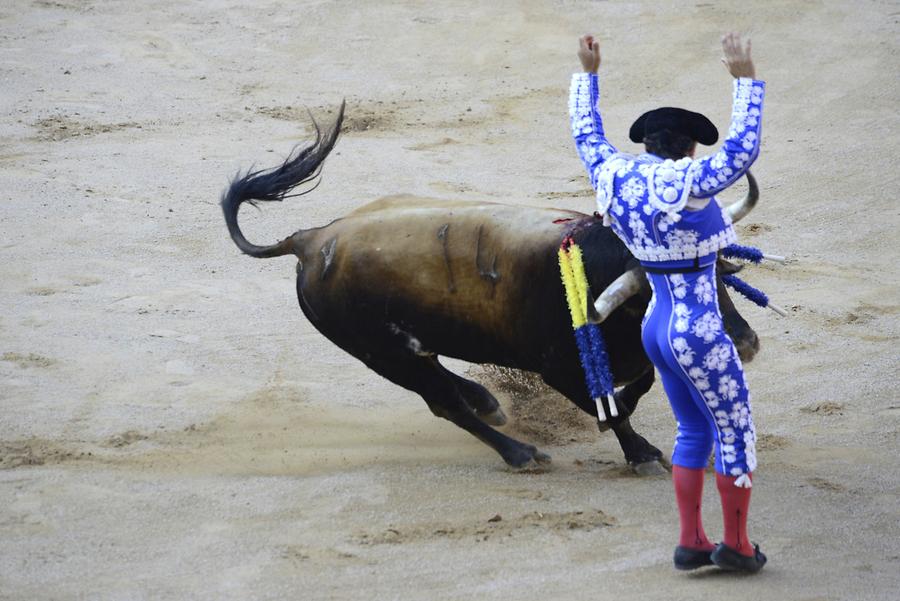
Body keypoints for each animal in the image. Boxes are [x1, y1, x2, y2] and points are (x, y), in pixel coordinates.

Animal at [220, 106, 760, 474]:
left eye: (718, 275)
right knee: (443, 403)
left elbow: (640, 382)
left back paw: (488, 402)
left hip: (402, 350)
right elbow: (608, 408)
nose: (745, 344)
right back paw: (520, 452)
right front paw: (642, 453)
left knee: (444, 384)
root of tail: (310, 241)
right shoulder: (558, 369)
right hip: (381, 353)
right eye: (660, 290)